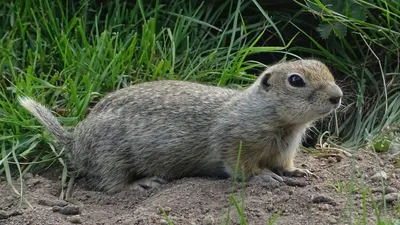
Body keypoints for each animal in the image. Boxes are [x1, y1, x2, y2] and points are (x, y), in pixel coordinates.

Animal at [18, 58, 342, 193]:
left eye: (327, 70)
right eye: (296, 80)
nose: (337, 96)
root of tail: (74, 142)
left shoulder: (285, 150)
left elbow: (286, 164)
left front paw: (298, 172)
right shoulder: (235, 142)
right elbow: (242, 169)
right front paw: (265, 178)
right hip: (109, 156)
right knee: (110, 185)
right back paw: (141, 184)